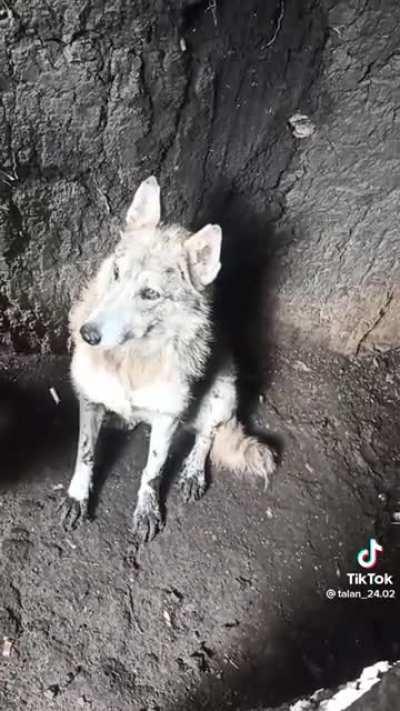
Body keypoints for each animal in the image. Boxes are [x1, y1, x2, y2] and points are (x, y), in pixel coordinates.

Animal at [62, 176, 276, 542]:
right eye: (116, 272)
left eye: (150, 294)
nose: (86, 335)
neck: (131, 362)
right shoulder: (90, 400)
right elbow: (85, 456)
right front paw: (77, 497)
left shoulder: (167, 418)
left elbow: (153, 470)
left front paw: (147, 510)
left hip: (222, 396)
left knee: (207, 435)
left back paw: (192, 472)